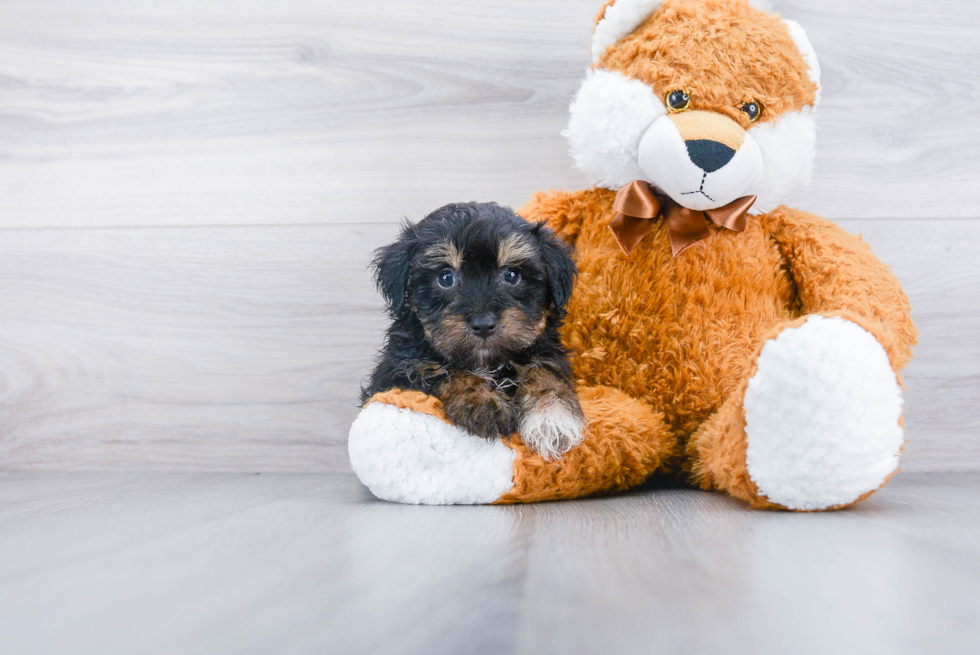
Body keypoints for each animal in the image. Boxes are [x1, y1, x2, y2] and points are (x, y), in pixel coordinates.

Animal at [362, 202, 584, 458]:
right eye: (446, 278)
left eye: (511, 275)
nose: (484, 324)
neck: (486, 362)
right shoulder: (398, 369)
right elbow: (446, 371)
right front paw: (483, 402)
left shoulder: (546, 349)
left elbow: (547, 373)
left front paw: (552, 418)